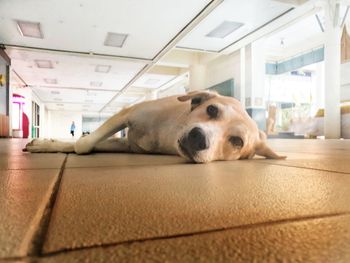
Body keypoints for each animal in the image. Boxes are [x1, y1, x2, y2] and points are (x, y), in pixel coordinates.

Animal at [25, 92, 288, 164]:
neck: (167, 135)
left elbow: (85, 145)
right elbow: (84, 143)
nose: (198, 137)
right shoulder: (127, 115)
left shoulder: (127, 146)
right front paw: (46, 144)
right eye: (212, 110)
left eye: (237, 142)